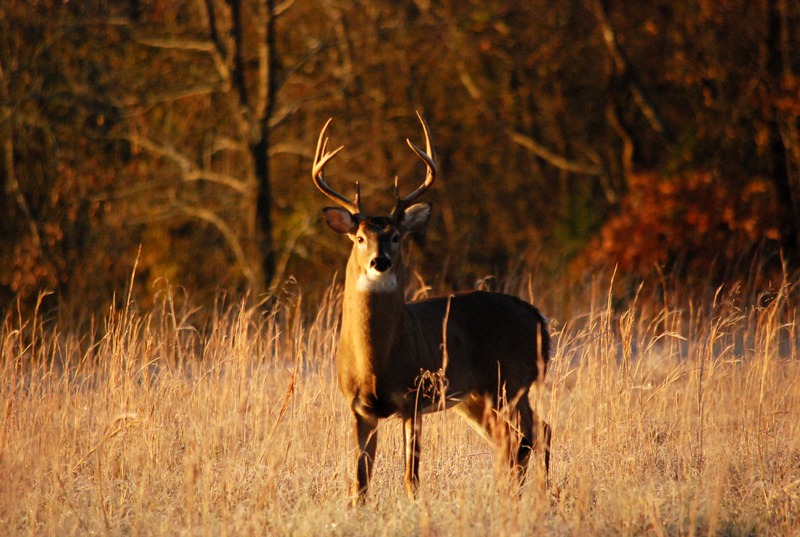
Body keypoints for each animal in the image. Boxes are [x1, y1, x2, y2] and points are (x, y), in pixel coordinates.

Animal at [312, 112, 551, 506]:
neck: (376, 363)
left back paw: (536, 498)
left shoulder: (414, 397)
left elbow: (411, 476)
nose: (380, 261)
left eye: (396, 236)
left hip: (512, 381)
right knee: (512, 440)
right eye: (360, 238)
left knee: (535, 434)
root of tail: (538, 317)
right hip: (478, 396)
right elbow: (361, 481)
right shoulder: (359, 408)